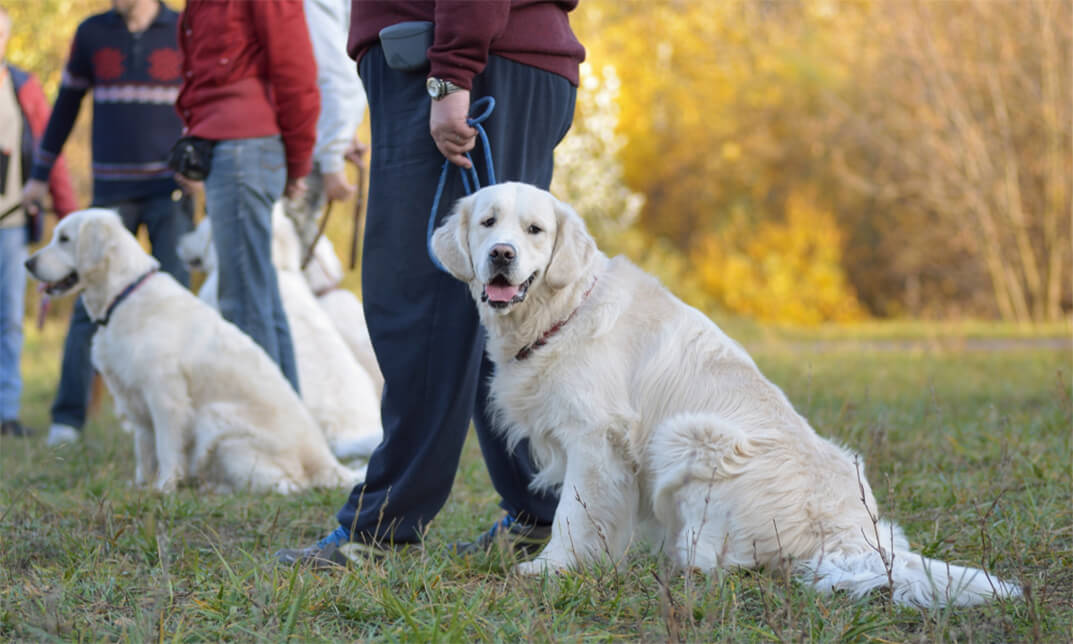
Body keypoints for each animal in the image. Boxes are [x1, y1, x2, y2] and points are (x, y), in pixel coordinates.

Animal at [429, 182, 1021, 609]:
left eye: (534, 229)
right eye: (487, 222)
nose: (502, 254)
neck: (563, 311)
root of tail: (853, 538)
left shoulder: (597, 440)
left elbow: (575, 514)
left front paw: (553, 568)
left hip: (690, 435)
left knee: (718, 562)